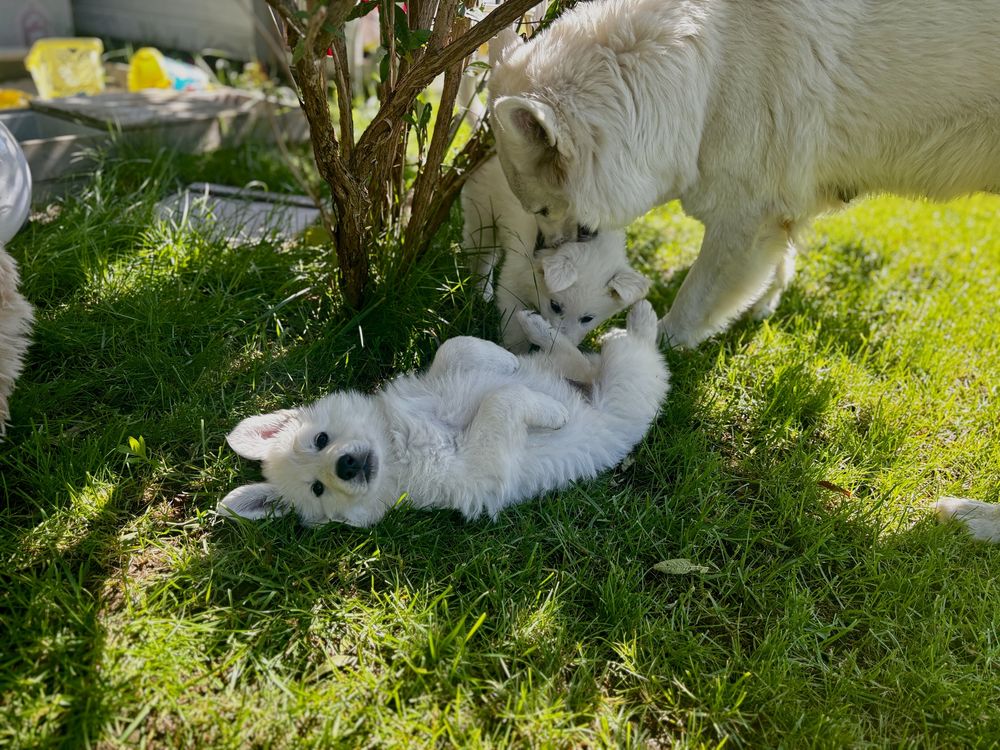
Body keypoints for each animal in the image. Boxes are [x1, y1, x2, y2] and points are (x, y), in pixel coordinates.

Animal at [221, 300, 672, 528]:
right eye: (317, 489)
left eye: (320, 439)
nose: (345, 466)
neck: (397, 442)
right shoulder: (480, 465)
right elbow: (502, 399)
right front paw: (555, 412)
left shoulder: (436, 381)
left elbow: (455, 349)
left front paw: (504, 361)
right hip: (628, 384)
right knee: (636, 351)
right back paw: (639, 319)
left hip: (575, 368)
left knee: (573, 357)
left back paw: (538, 328)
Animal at [460, 156, 648, 356]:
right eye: (555, 306)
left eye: (587, 318)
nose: (561, 344)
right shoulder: (514, 278)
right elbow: (514, 324)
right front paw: (517, 353)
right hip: (482, 209)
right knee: (482, 252)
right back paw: (481, 291)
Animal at [486, 0, 1000, 352]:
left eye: (543, 208)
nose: (539, 257)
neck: (708, 69)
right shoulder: (784, 209)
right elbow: (781, 261)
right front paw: (765, 304)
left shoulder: (747, 220)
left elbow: (694, 299)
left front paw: (656, 344)